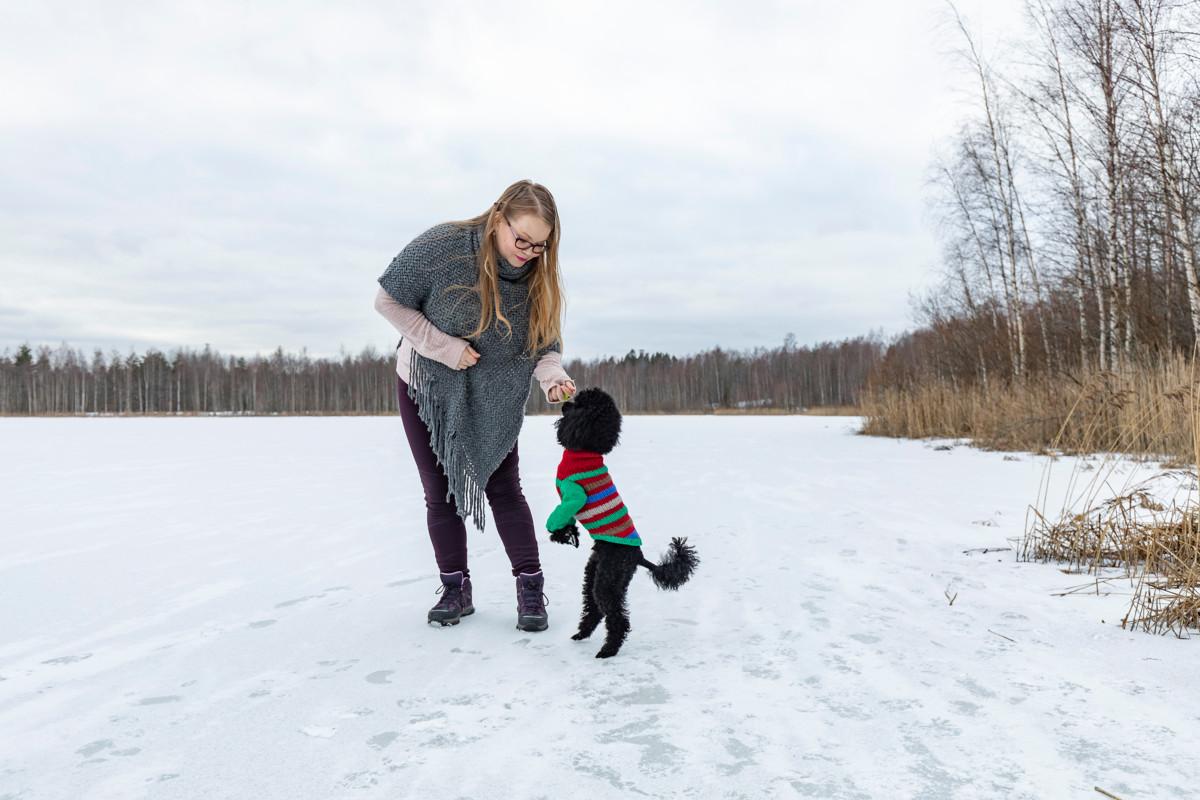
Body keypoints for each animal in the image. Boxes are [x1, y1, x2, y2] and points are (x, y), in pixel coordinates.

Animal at [547, 388, 700, 657]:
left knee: (616, 615)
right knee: (595, 606)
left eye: (579, 405)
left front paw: (556, 530)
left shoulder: (573, 494)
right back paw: (582, 633)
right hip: (597, 571)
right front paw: (566, 533)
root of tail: (637, 556)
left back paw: (608, 649)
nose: (564, 404)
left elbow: (562, 512)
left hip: (610, 575)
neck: (585, 450)